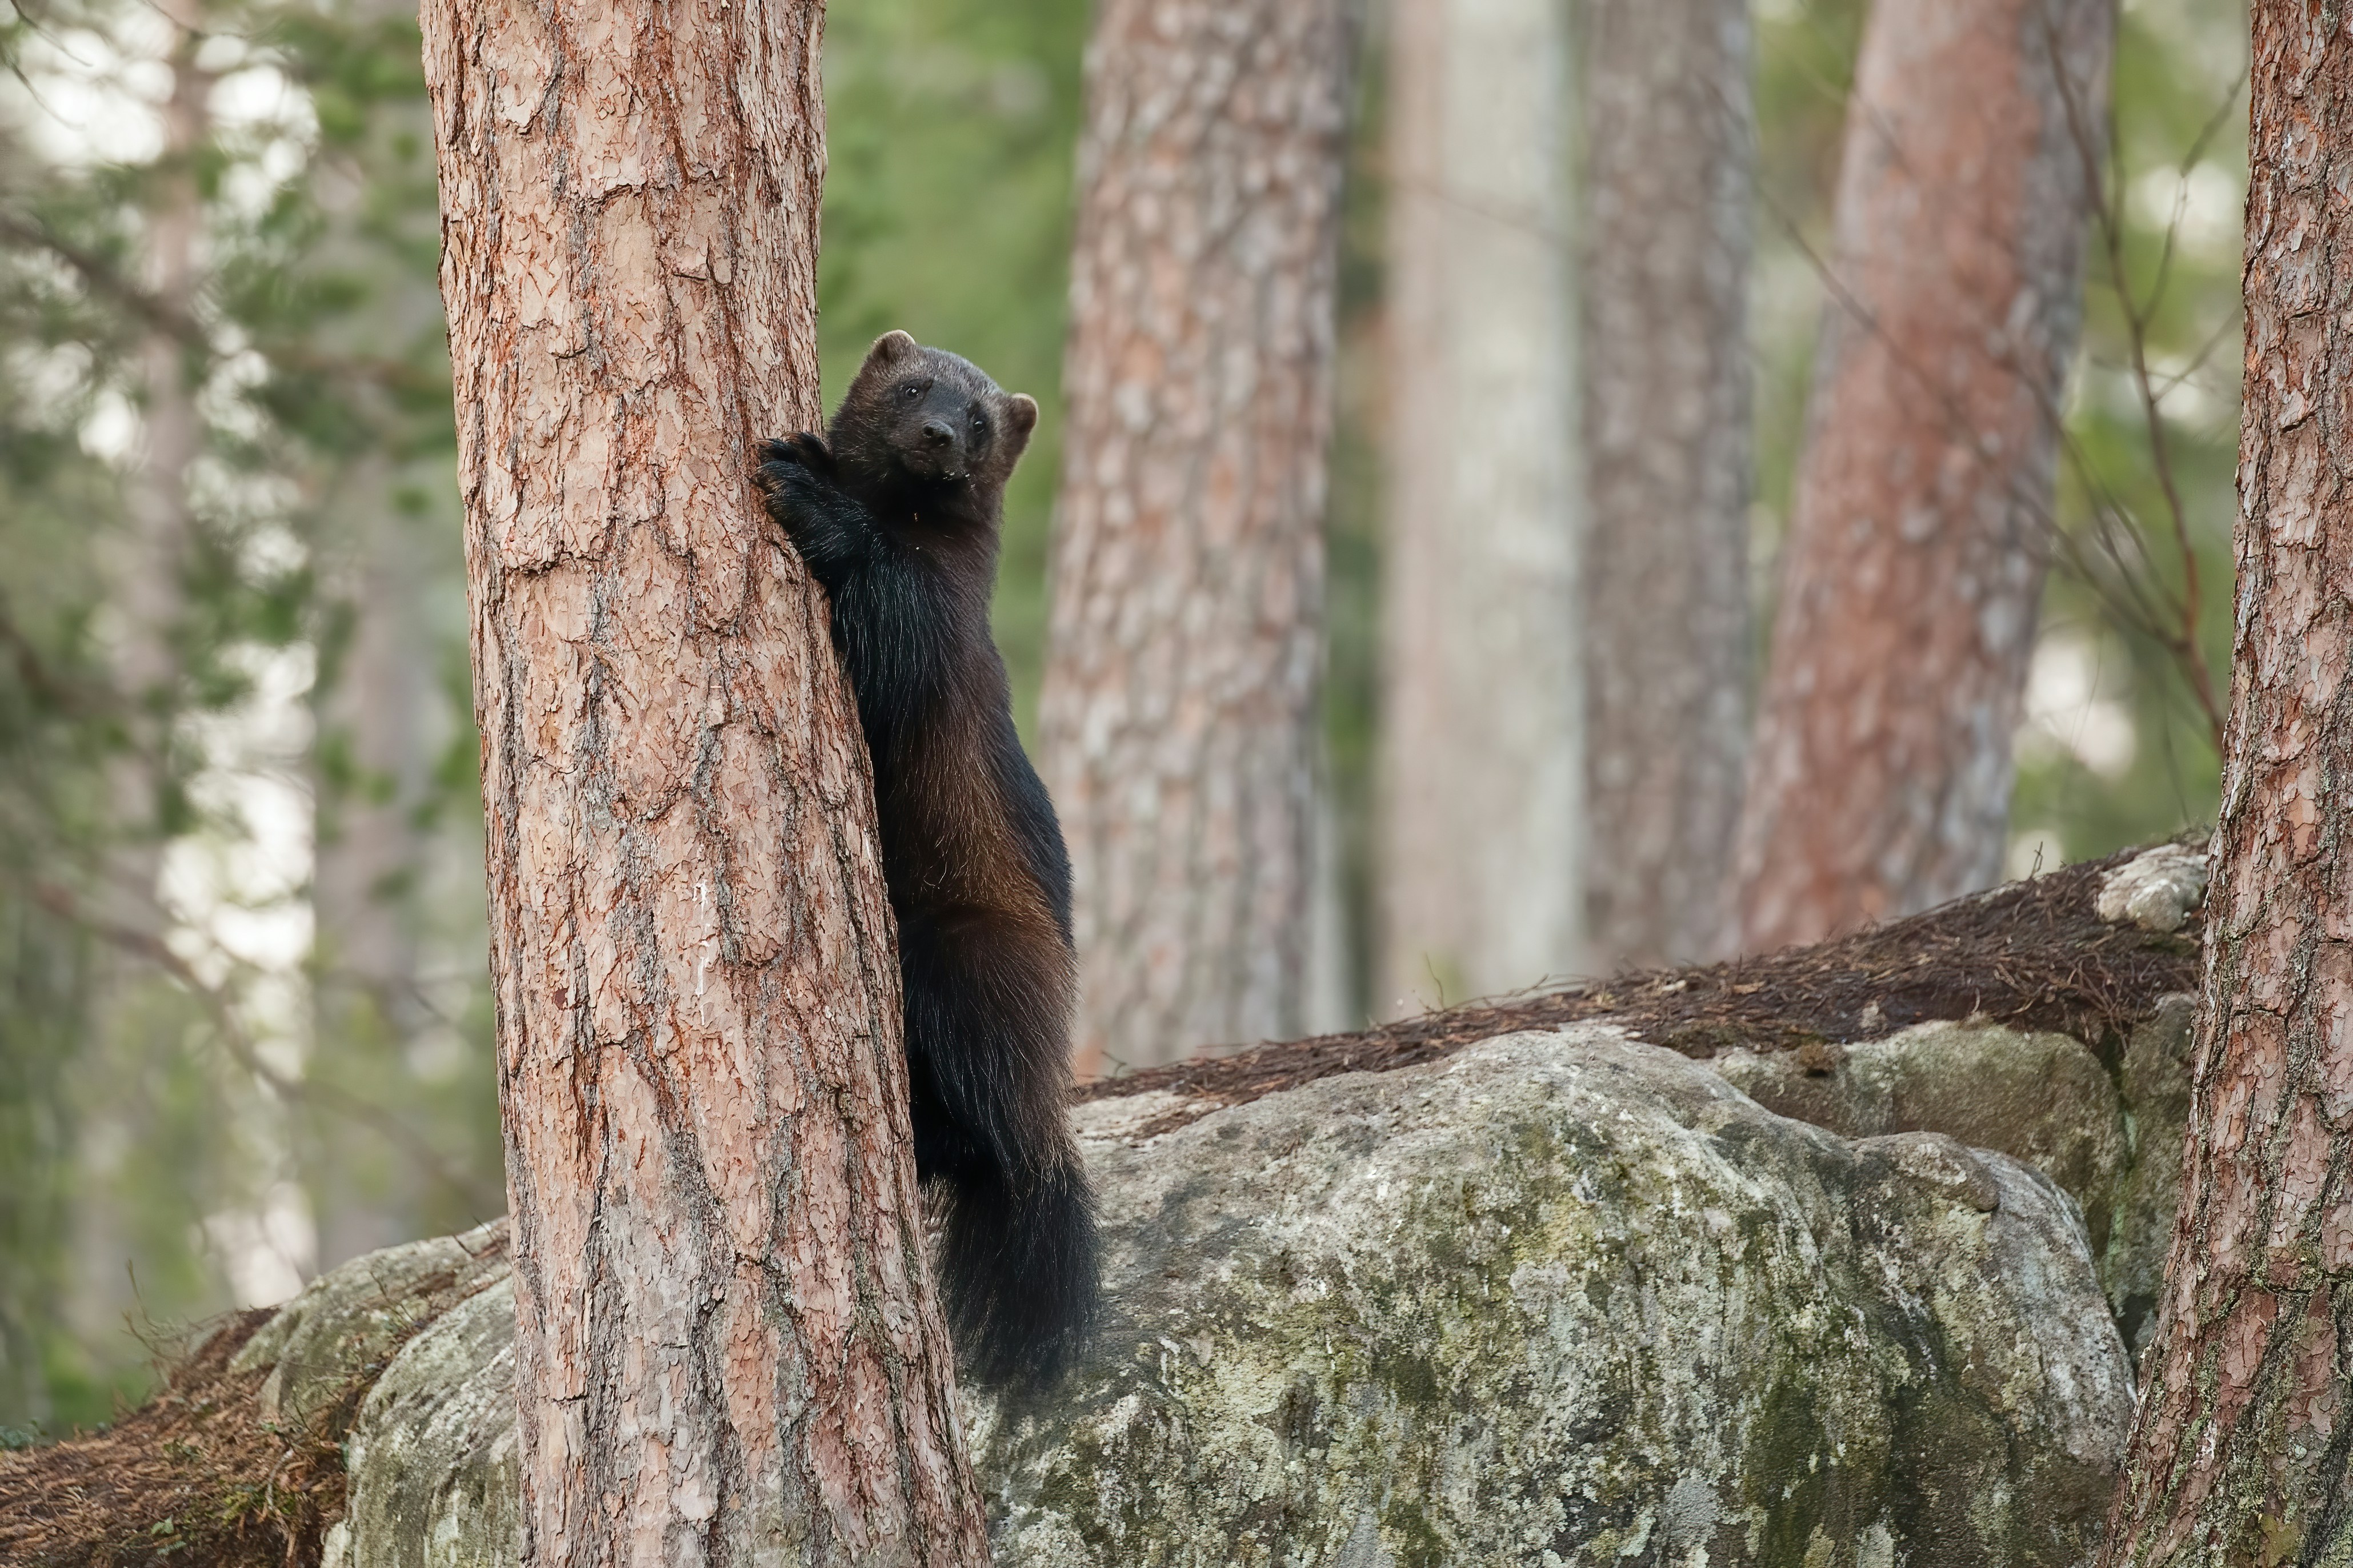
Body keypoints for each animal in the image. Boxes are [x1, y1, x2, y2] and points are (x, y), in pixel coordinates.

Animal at [753, 330, 1096, 1392]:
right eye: (913, 387)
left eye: (979, 417)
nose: (942, 432)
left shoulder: (936, 628)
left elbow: (887, 634)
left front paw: (804, 484)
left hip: (960, 953)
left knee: (986, 1130)